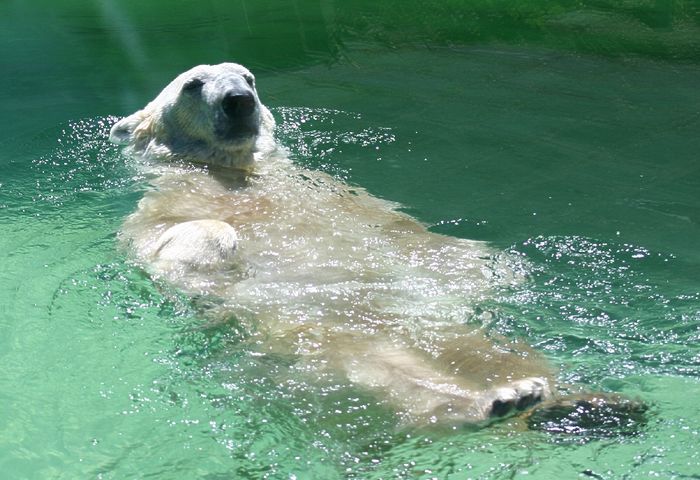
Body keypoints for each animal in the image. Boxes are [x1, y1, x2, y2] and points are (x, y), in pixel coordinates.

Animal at [108, 62, 616, 426]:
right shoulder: (162, 209)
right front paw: (217, 248)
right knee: (376, 364)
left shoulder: (336, 195)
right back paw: (496, 402)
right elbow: (173, 245)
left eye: (248, 76)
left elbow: (420, 240)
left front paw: (496, 268)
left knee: (488, 350)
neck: (230, 172)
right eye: (193, 84)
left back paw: (571, 401)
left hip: (437, 326)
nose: (239, 100)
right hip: (306, 333)